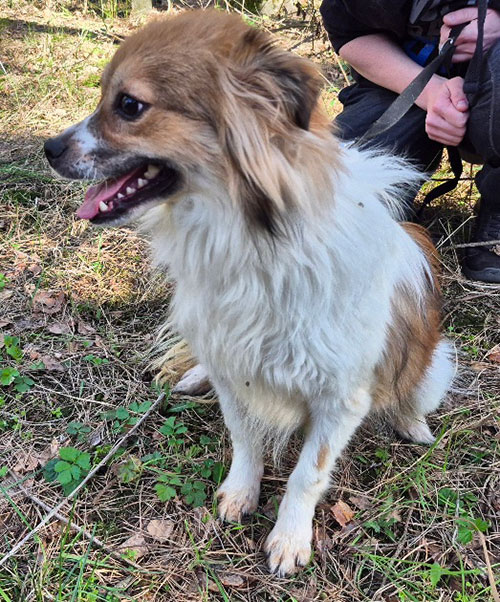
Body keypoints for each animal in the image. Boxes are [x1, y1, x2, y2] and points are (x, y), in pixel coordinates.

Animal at [44, 10, 454, 576]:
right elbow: (245, 438)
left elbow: (308, 472)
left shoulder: (340, 398)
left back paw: (412, 421)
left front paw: (289, 537)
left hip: (432, 364)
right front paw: (242, 493)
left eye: (128, 106)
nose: (48, 149)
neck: (253, 243)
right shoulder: (231, 365)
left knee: (413, 387)